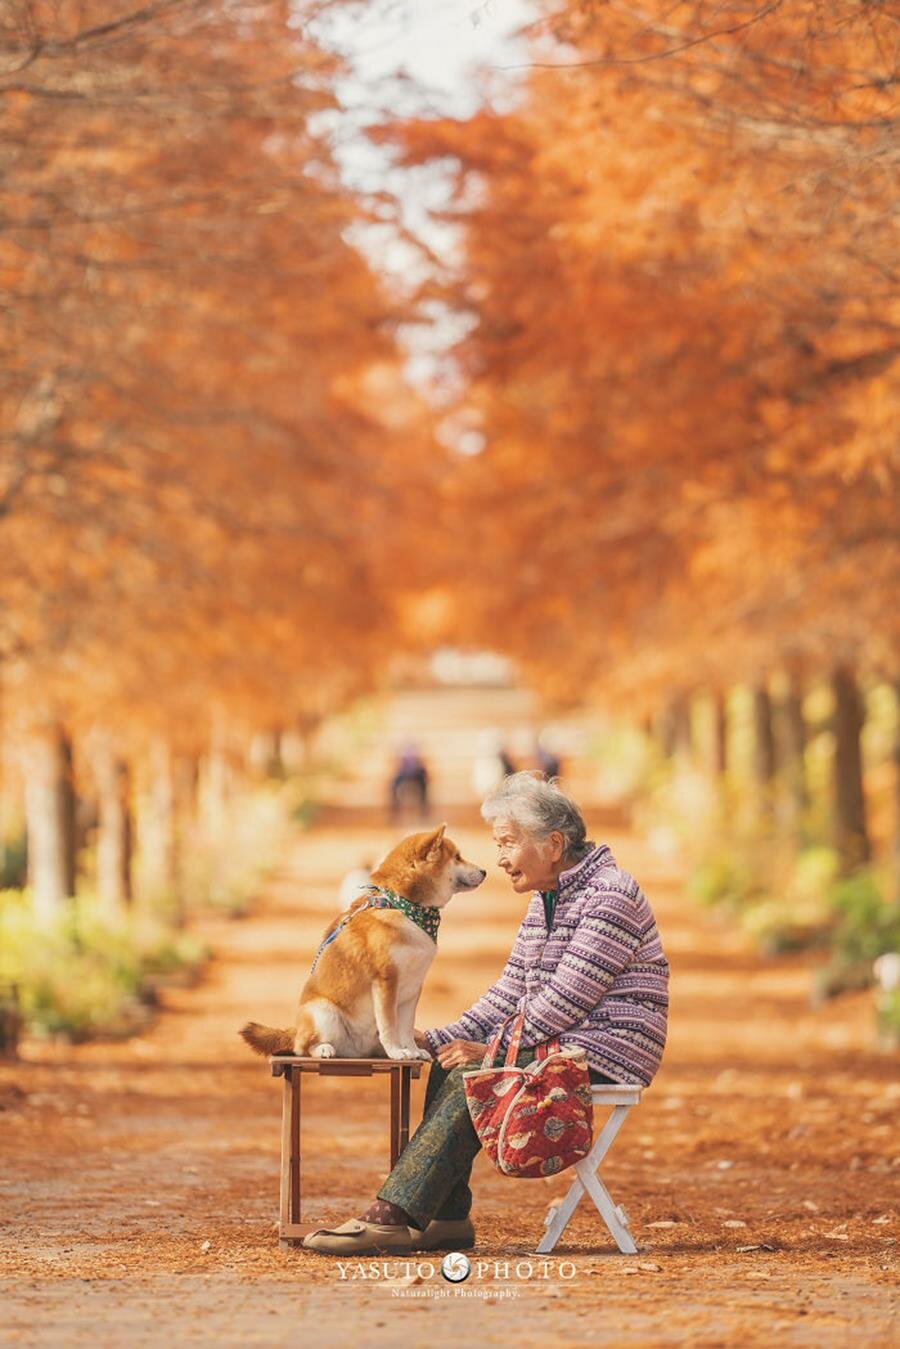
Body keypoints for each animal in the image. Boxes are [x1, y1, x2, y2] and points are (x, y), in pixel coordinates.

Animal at [236, 825, 483, 1057]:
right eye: (457, 857)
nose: (484, 871)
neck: (404, 907)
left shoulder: (413, 988)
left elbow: (405, 1027)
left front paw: (412, 1051)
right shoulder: (386, 982)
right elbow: (389, 1026)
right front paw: (397, 1052)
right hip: (323, 1013)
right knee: (303, 1047)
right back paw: (324, 1049)